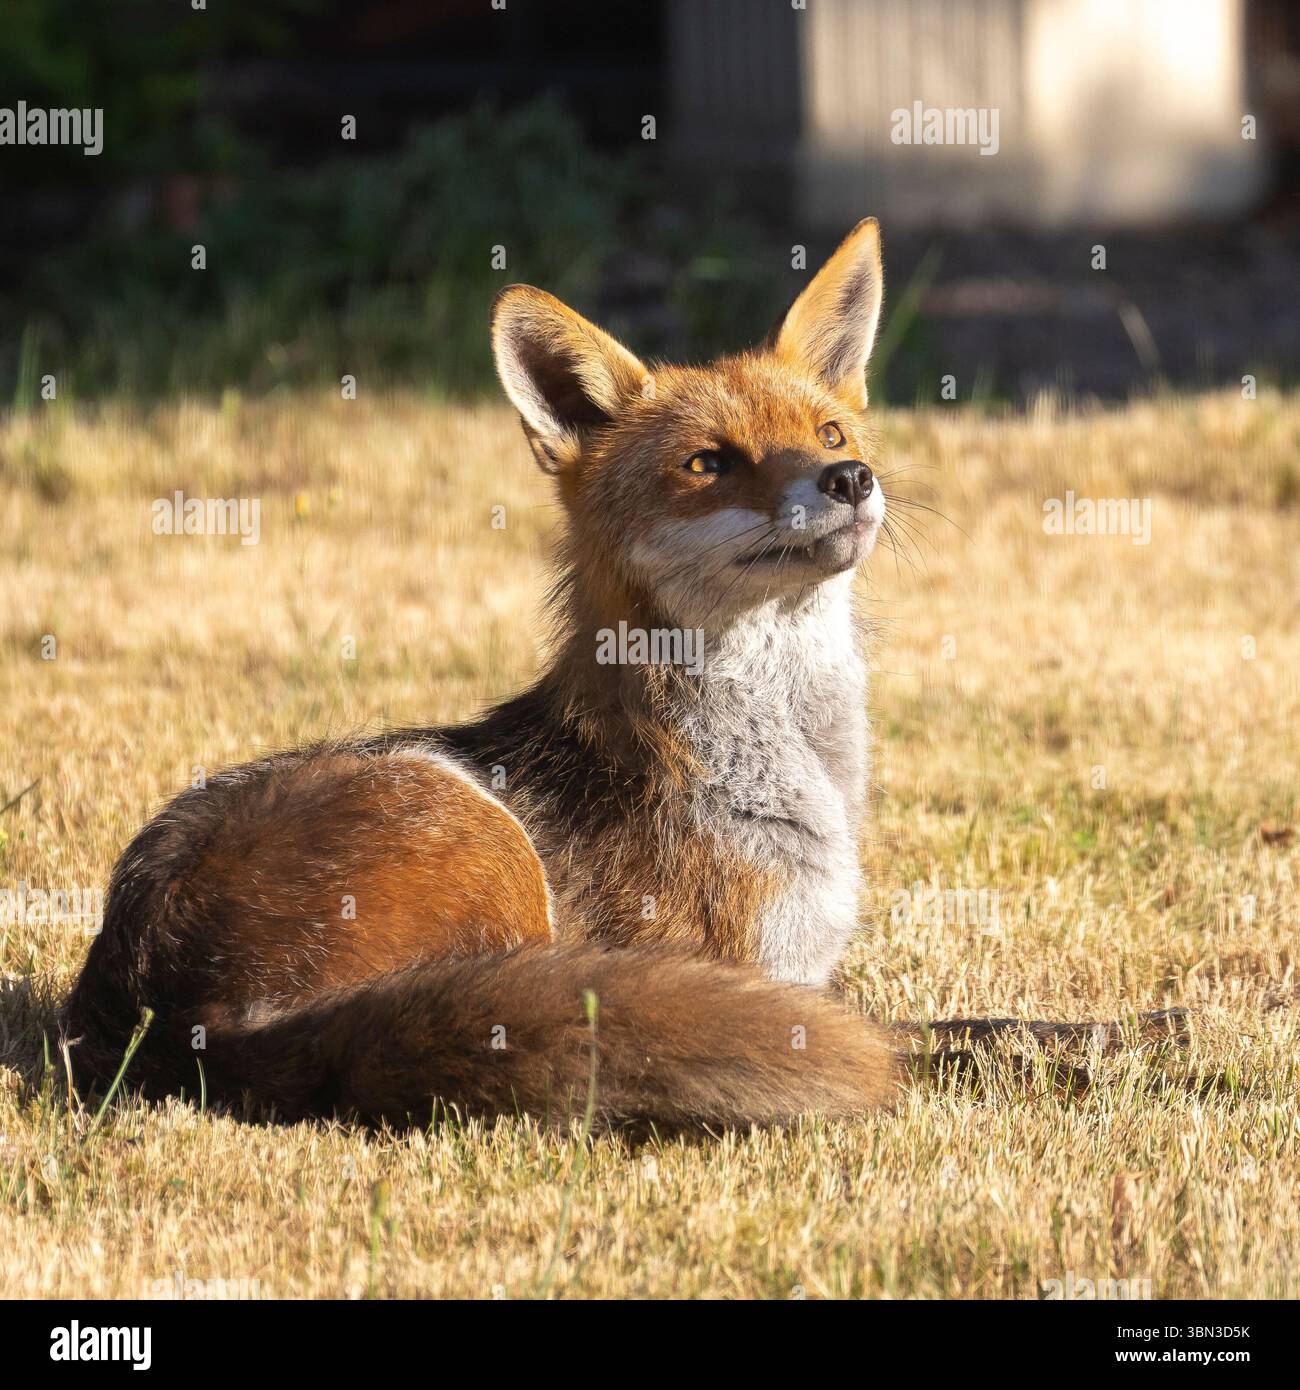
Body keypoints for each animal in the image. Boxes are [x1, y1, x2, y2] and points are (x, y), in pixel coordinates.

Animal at [63, 220, 1178, 1131]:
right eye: (710, 463)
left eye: (828, 433)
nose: (851, 479)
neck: (787, 771)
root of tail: (164, 1005)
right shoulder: (763, 982)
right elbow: (945, 1047)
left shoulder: (796, 976)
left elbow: (987, 1024)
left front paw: (1143, 1033)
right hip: (480, 840)